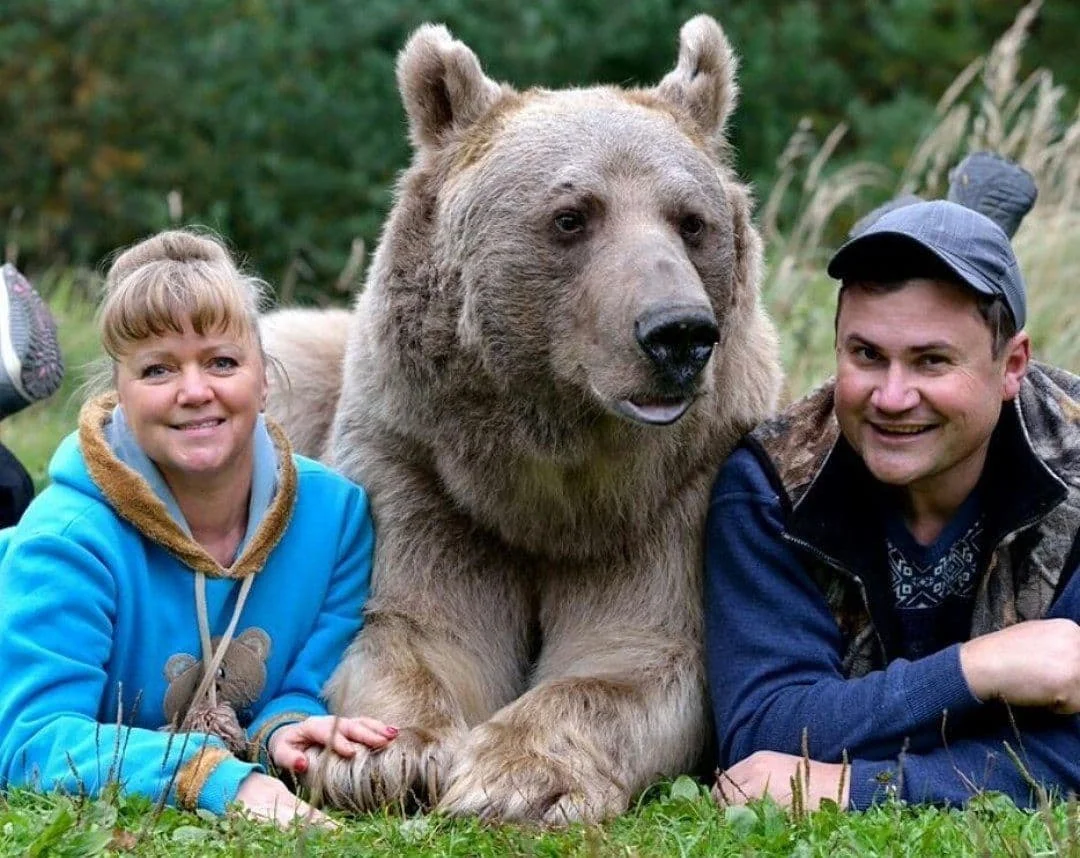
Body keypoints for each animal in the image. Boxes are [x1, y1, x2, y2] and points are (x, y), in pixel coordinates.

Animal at [264, 15, 781, 821]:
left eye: (691, 221)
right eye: (571, 216)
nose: (679, 333)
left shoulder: (684, 489)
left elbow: (638, 653)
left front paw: (520, 776)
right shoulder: (420, 468)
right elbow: (415, 625)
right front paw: (386, 754)